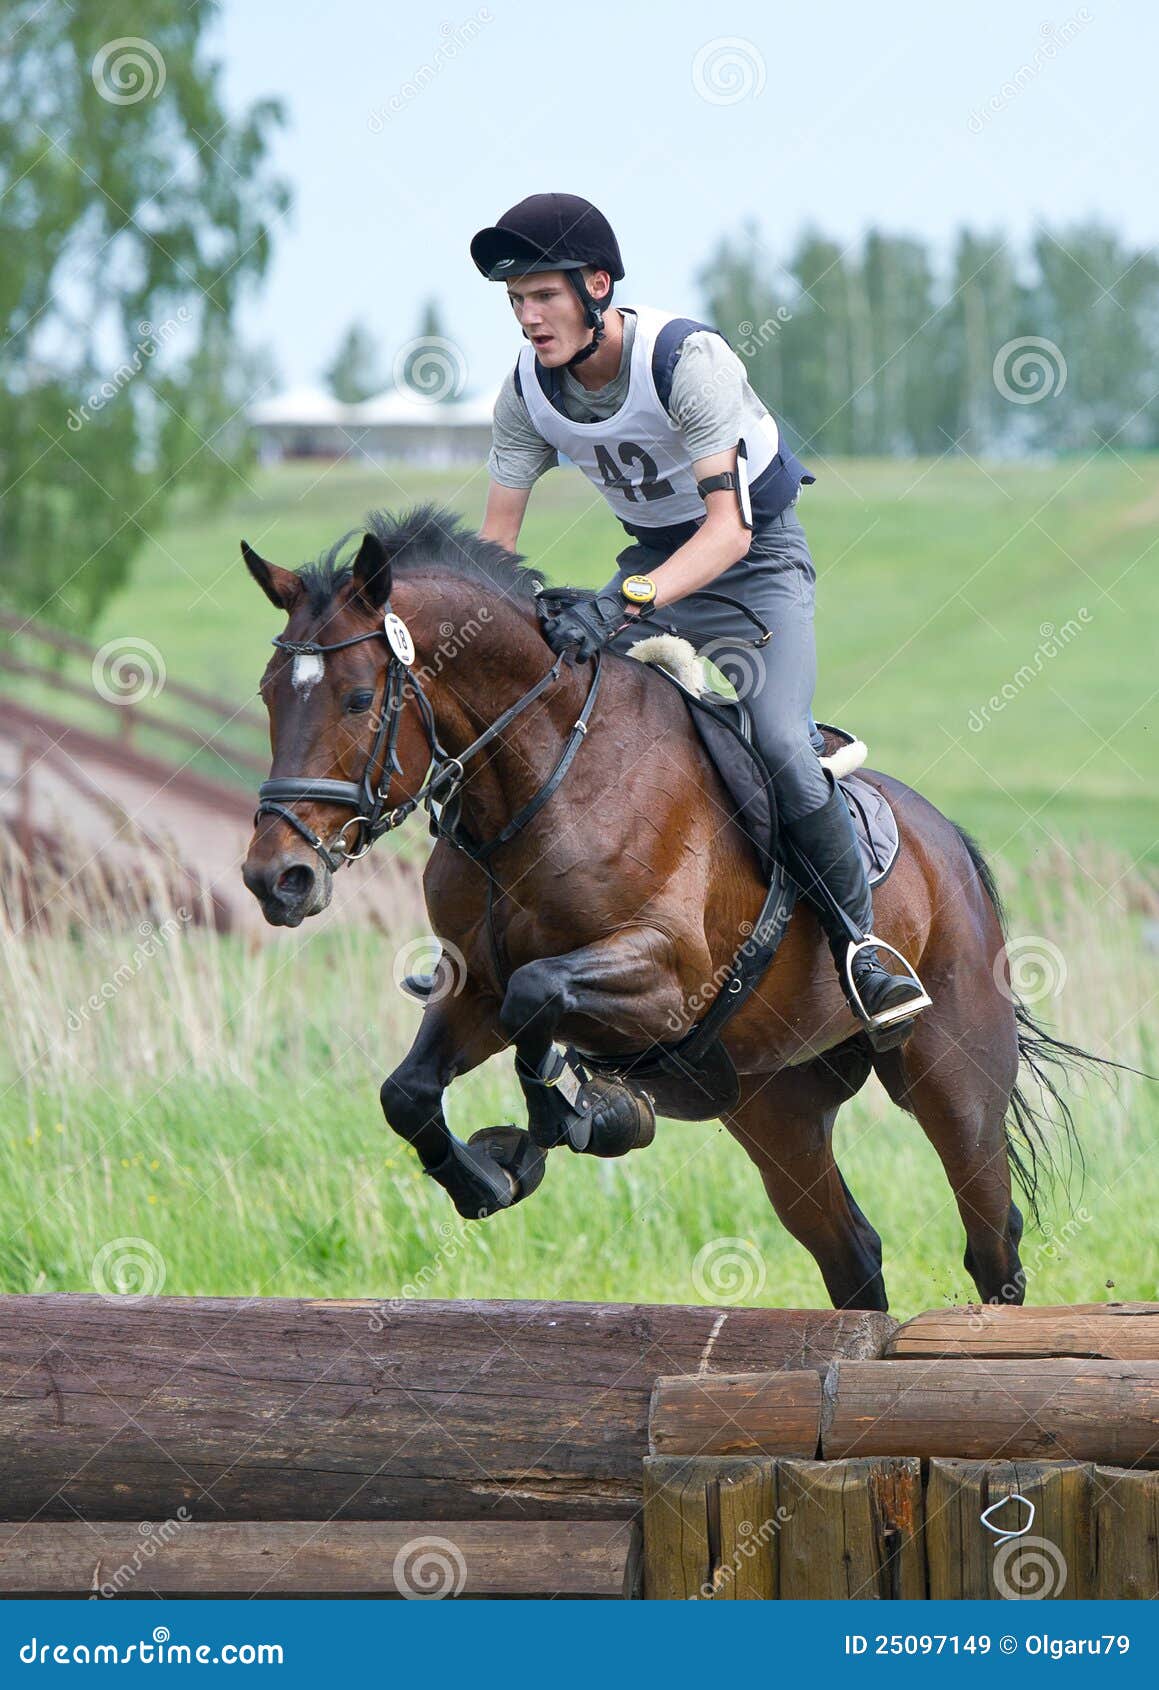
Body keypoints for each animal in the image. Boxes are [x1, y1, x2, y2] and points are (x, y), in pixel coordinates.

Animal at [241, 503, 1105, 1312]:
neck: (539, 779)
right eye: (268, 696)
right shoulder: (471, 985)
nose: (275, 879)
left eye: (358, 699)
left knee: (991, 1239)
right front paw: (489, 1176)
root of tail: (947, 843)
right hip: (775, 1104)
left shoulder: (667, 978)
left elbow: (538, 996)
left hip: (952, 1077)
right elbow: (411, 1089)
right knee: (852, 1254)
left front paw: (576, 1121)